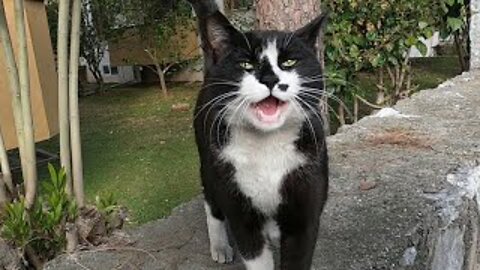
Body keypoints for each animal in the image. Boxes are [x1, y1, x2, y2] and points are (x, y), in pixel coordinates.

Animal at [189, 1, 328, 268]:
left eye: (289, 62)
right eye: (246, 65)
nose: (270, 79)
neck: (268, 145)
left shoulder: (305, 202)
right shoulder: (238, 204)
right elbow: (254, 253)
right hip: (207, 156)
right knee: (211, 202)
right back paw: (220, 247)